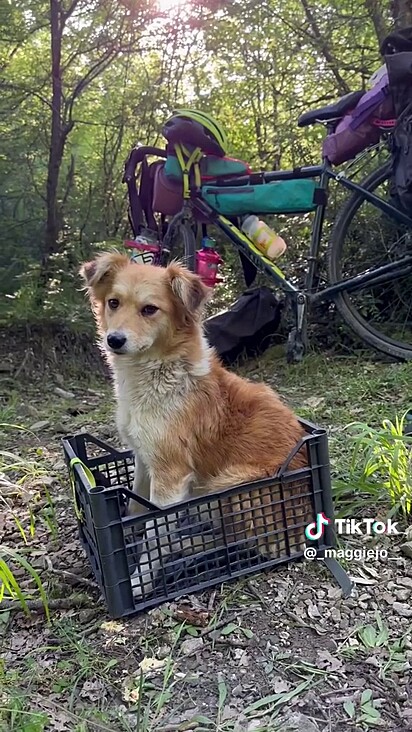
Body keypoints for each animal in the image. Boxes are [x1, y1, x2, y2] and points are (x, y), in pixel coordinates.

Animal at [80, 254, 312, 596]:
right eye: (113, 302)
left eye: (149, 309)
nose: (114, 340)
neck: (157, 374)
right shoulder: (144, 458)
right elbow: (136, 510)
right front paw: (127, 539)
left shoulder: (171, 475)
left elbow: (155, 537)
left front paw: (139, 581)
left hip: (231, 485)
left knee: (238, 542)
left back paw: (187, 548)